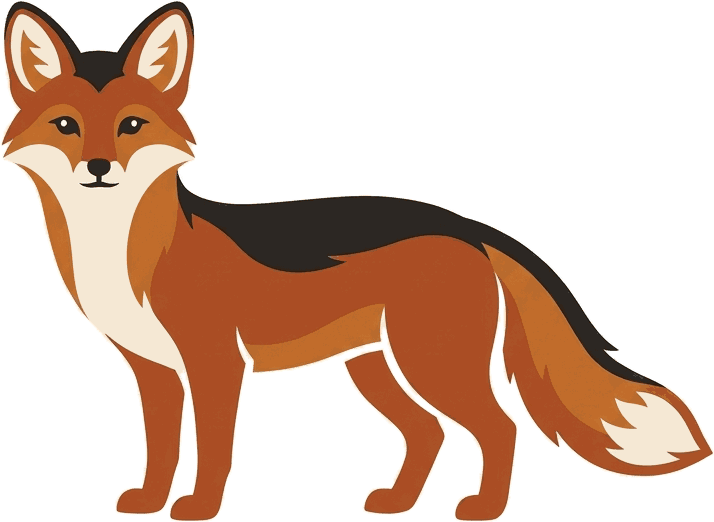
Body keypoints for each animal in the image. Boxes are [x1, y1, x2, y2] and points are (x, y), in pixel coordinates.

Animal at [2, 1, 711, 521]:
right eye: (66, 126)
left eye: (131, 127)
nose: (100, 168)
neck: (124, 249)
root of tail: (463, 224)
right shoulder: (153, 371)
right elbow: (160, 447)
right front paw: (149, 501)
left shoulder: (215, 365)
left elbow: (212, 451)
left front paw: (199, 507)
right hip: (375, 368)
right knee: (429, 433)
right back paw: (397, 502)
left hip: (431, 364)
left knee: (499, 428)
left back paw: (483, 508)